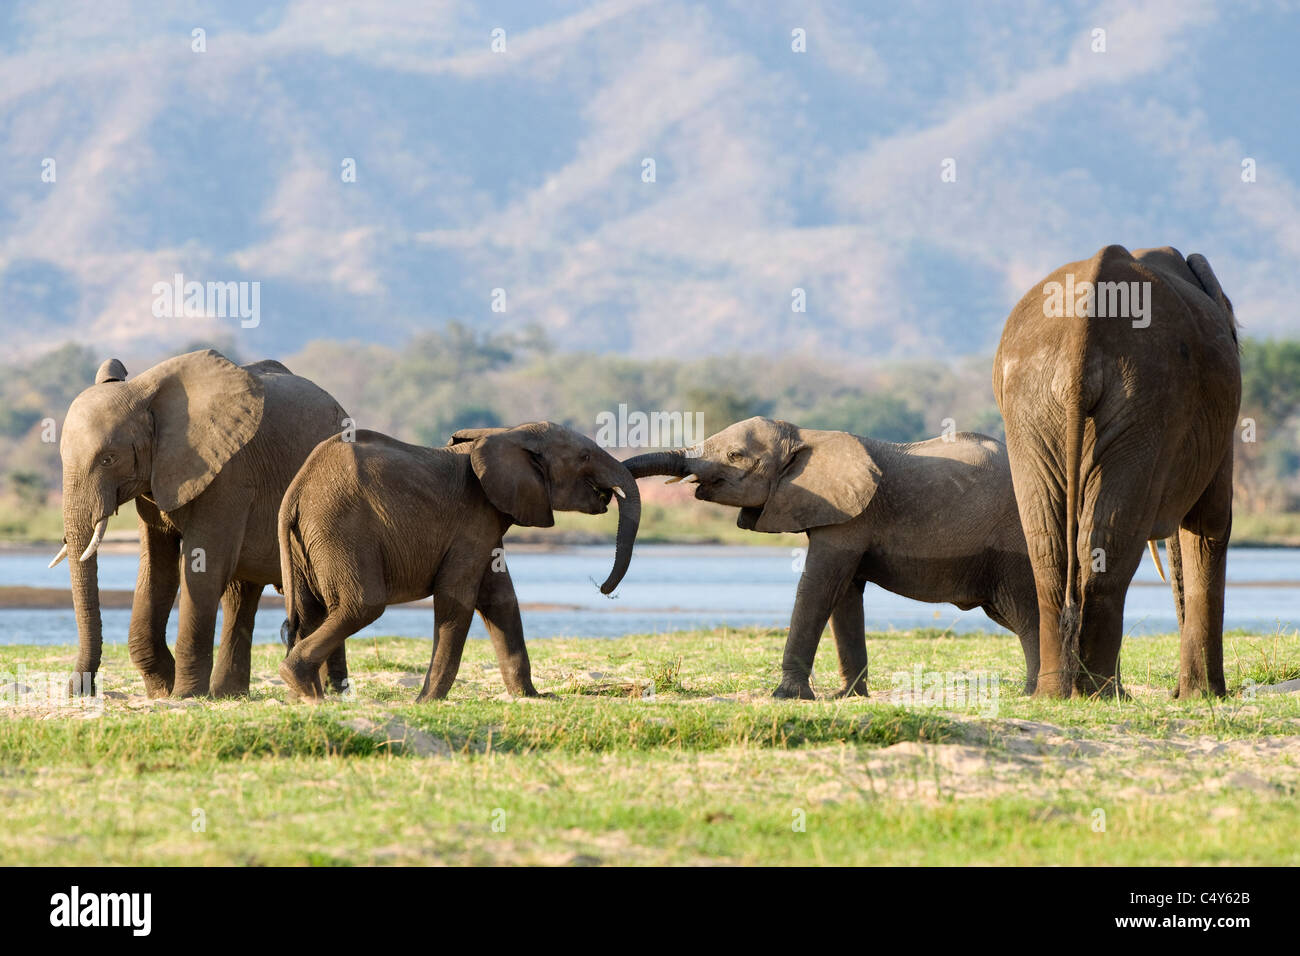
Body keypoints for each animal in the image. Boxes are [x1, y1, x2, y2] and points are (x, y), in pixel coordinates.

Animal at [52, 349, 351, 698]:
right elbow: (157, 569)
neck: (146, 393)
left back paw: (333, 691)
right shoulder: (156, 479)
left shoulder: (229, 472)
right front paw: (163, 689)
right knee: (241, 596)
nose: (79, 690)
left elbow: (202, 567)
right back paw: (230, 694)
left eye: (108, 458)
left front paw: (182, 695)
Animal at [276, 422, 641, 701]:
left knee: (312, 611)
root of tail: (294, 493)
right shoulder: (473, 518)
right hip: (341, 530)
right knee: (363, 605)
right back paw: (301, 685)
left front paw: (534, 698)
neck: (511, 433)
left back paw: (304, 696)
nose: (603, 588)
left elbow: (500, 599)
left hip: (310, 541)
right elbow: (457, 598)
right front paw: (427, 701)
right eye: (584, 456)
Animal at [623, 417, 1041, 699]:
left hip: (1016, 542)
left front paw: (787, 696)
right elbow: (844, 594)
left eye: (734, 455)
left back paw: (1035, 692)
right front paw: (849, 697)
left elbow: (819, 586)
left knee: (1026, 612)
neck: (806, 436)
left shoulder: (852, 516)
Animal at [993, 245, 1240, 698]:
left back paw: (1061, 693)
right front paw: (1206, 696)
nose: (1174, 694)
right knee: (1110, 537)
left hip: (1034, 406)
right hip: (1142, 400)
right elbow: (1210, 525)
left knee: (1052, 546)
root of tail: (1081, 334)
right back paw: (1100, 693)